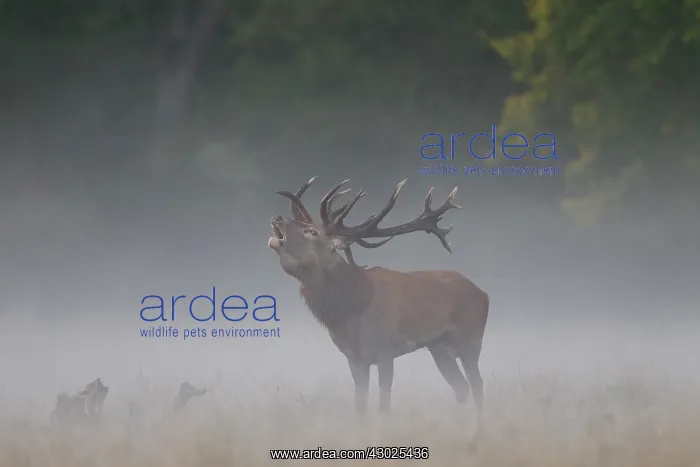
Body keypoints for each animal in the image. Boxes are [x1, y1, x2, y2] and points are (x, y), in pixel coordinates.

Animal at [268, 177, 489, 432]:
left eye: (311, 231)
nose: (278, 218)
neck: (351, 313)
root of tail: (484, 294)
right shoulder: (354, 358)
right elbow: (360, 406)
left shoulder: (385, 349)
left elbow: (384, 404)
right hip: (439, 347)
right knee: (461, 386)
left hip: (471, 338)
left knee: (477, 384)